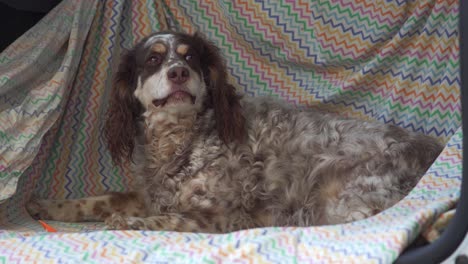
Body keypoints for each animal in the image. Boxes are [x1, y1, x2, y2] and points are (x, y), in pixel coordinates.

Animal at [25, 31, 442, 233]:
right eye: (154, 59)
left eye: (190, 57)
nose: (179, 72)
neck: (182, 140)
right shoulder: (153, 194)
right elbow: (100, 199)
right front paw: (47, 205)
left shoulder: (220, 215)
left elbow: (170, 219)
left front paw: (128, 223)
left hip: (337, 201)